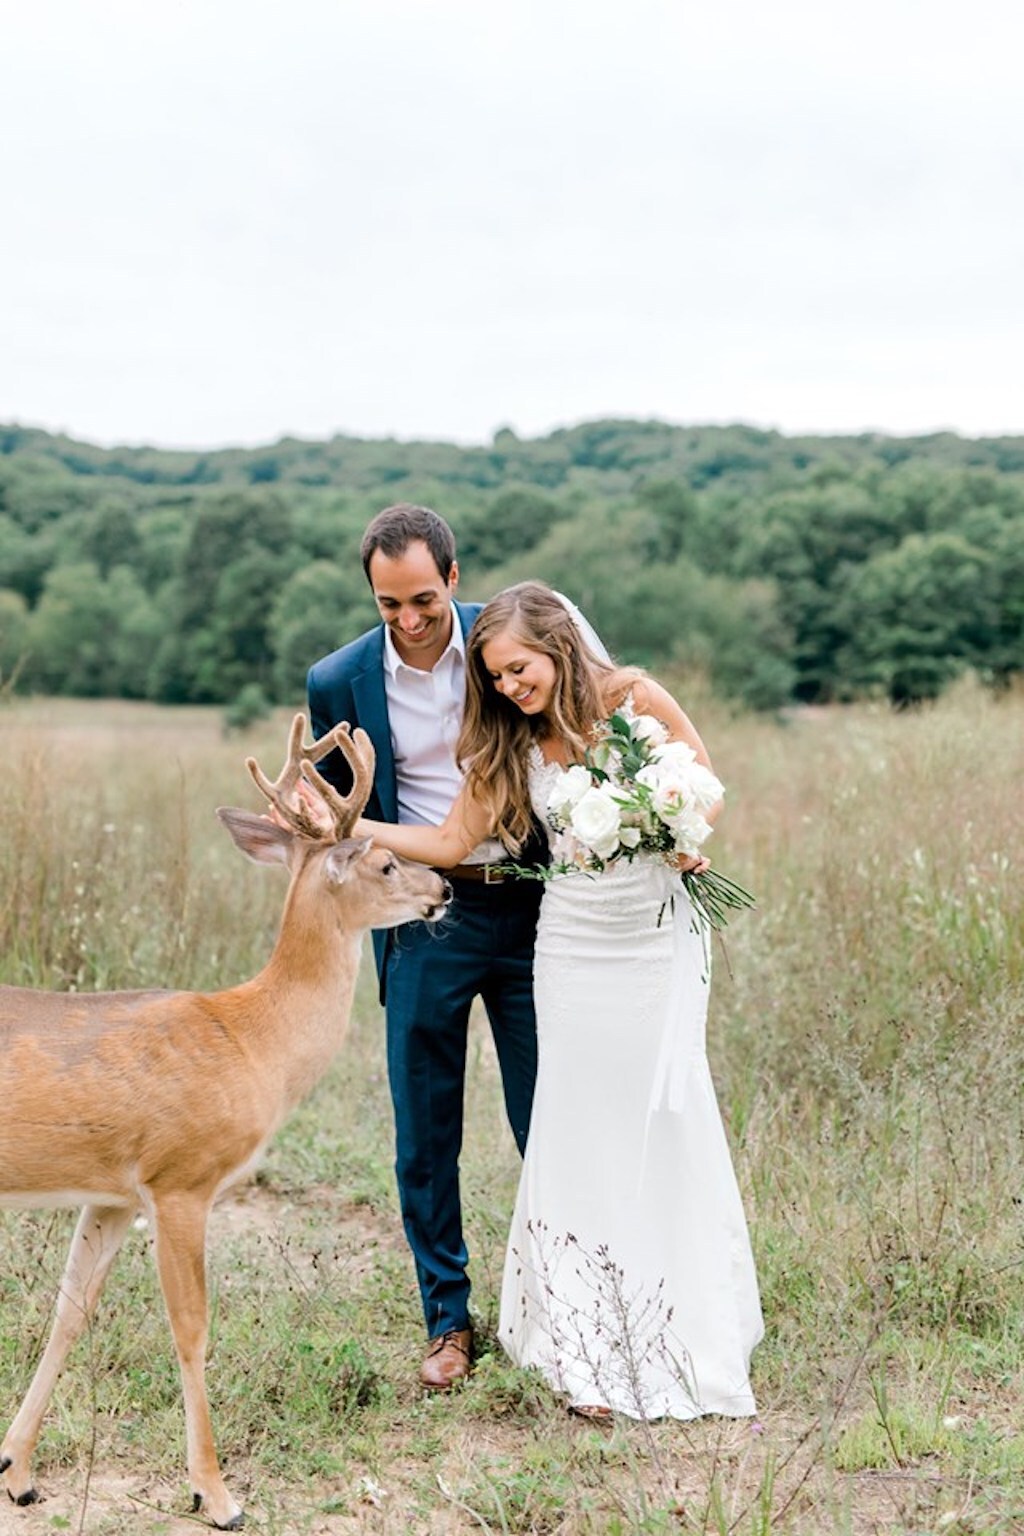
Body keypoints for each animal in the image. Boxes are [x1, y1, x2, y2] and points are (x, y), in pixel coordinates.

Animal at [0, 712, 448, 1529]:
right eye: (385, 864)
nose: (444, 889)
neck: (251, 1041)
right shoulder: (181, 1178)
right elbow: (192, 1330)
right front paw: (216, 1493)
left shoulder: (112, 1194)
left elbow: (69, 1313)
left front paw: (17, 1470)